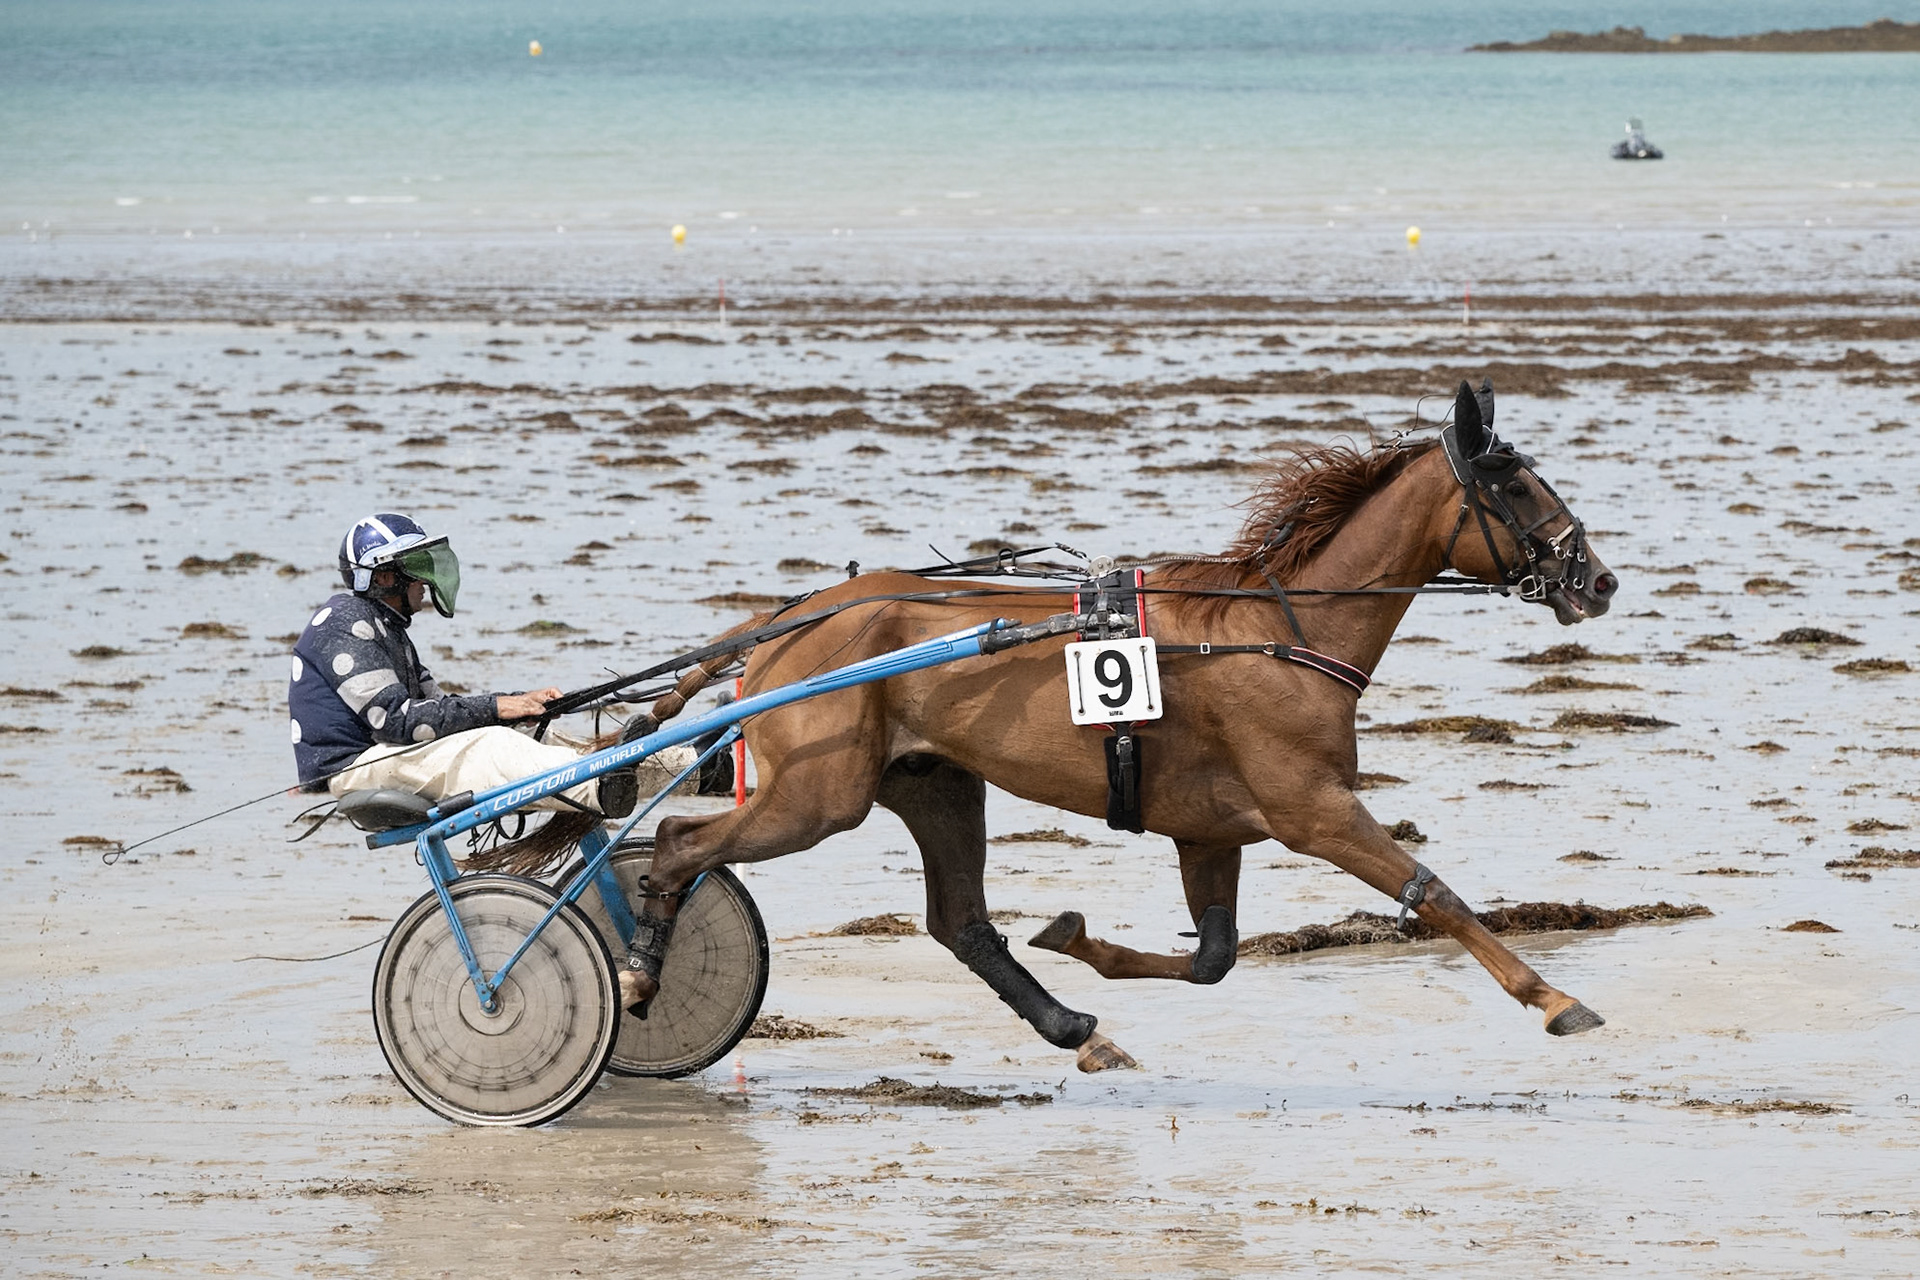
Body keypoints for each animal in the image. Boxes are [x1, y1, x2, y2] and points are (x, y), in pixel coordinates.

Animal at [623, 380, 1620, 1071]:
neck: (1277, 630)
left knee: (962, 924)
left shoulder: (1211, 829)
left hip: (935, 784)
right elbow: (1433, 892)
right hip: (817, 796)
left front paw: (1076, 941)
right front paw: (1553, 997)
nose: (1599, 580)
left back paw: (1074, 1028)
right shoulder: (1313, 809)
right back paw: (638, 971)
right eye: (1516, 486)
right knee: (677, 844)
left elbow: (1213, 957)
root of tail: (794, 620)